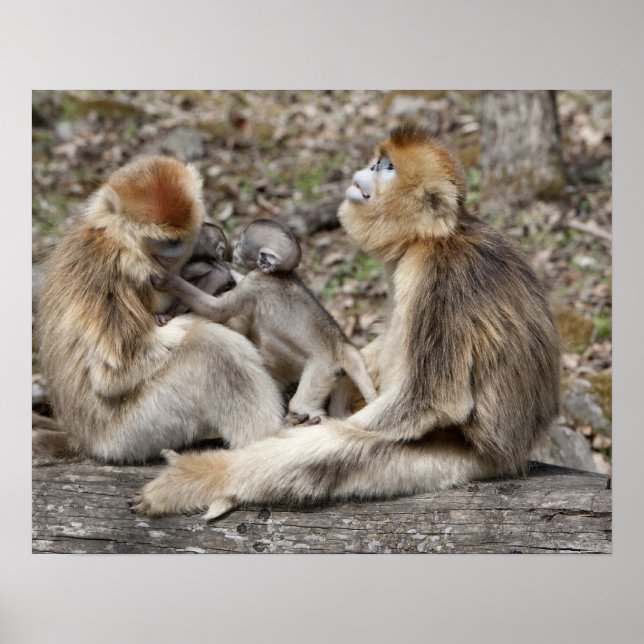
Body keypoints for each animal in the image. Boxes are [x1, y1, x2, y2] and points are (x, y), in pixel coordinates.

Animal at [35, 155, 284, 465]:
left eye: (179, 236)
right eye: (163, 239)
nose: (175, 250)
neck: (124, 242)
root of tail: (84, 442)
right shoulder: (105, 269)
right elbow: (116, 372)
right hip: (128, 435)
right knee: (213, 348)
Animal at [152, 218, 378, 425]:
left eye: (242, 243)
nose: (235, 247)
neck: (277, 274)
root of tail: (341, 346)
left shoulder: (255, 283)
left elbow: (218, 310)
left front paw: (170, 281)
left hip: (324, 368)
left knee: (303, 398)